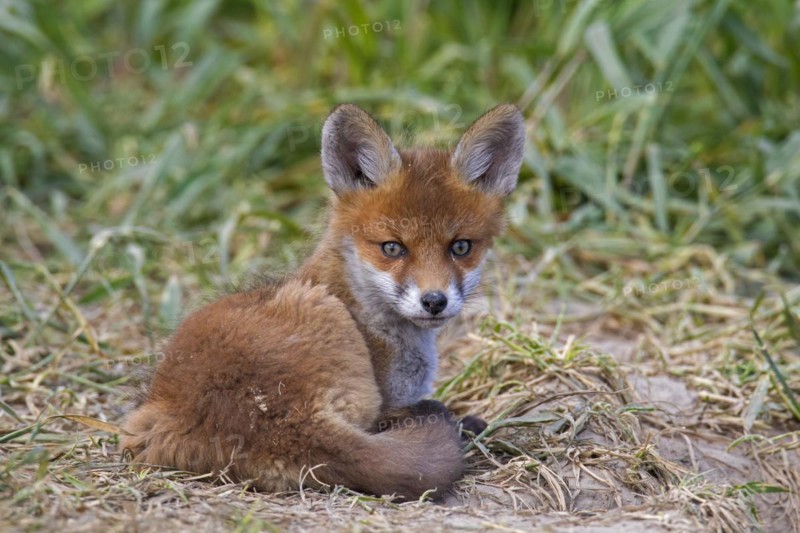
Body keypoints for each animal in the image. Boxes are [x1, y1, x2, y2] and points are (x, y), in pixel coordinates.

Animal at [120, 103, 526, 500]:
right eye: (392, 248)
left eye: (461, 247)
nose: (434, 301)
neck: (360, 306)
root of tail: (278, 421)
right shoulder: (388, 404)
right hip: (322, 315)